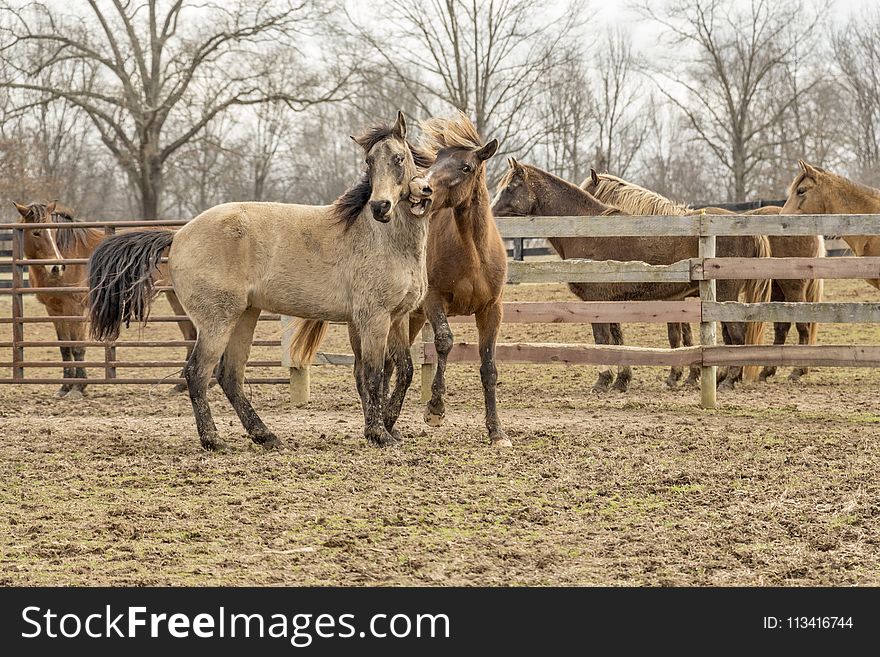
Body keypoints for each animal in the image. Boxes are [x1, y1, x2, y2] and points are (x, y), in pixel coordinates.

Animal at [12, 200, 199, 394]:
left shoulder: (75, 308)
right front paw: (65, 387)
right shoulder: (54, 310)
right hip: (175, 297)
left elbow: (78, 347)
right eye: (36, 232)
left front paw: (78, 386)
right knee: (191, 335)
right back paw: (180, 384)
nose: (57, 267)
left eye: (54, 232)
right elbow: (64, 348)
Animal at [89, 113, 434, 452]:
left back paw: (265, 435)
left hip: (244, 316)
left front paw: (388, 427)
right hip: (217, 322)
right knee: (197, 373)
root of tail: (178, 235)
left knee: (230, 376)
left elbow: (403, 370)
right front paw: (380, 434)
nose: (380, 207)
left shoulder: (397, 318)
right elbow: (373, 374)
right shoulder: (373, 318)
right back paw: (214, 440)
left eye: (399, 158)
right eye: (369, 162)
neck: (383, 240)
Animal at [580, 169, 820, 384]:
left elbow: (676, 336)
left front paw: (677, 376)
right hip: (775, 291)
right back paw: (760, 372)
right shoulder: (679, 298)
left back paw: (792, 371)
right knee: (780, 327)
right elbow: (685, 335)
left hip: (788, 288)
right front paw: (688, 376)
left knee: (799, 326)